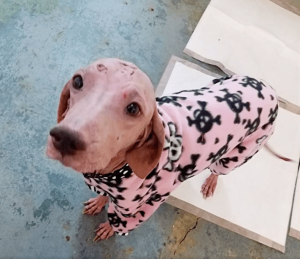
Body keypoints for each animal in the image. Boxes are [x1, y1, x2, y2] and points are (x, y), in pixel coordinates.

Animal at [46, 58, 278, 242]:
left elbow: (117, 222)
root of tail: (268, 88)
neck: (115, 170)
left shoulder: (137, 210)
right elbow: (103, 196)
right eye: (78, 81)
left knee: (219, 169)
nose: (65, 138)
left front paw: (108, 229)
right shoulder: (102, 185)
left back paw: (212, 180)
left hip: (238, 155)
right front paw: (99, 202)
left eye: (133, 108)